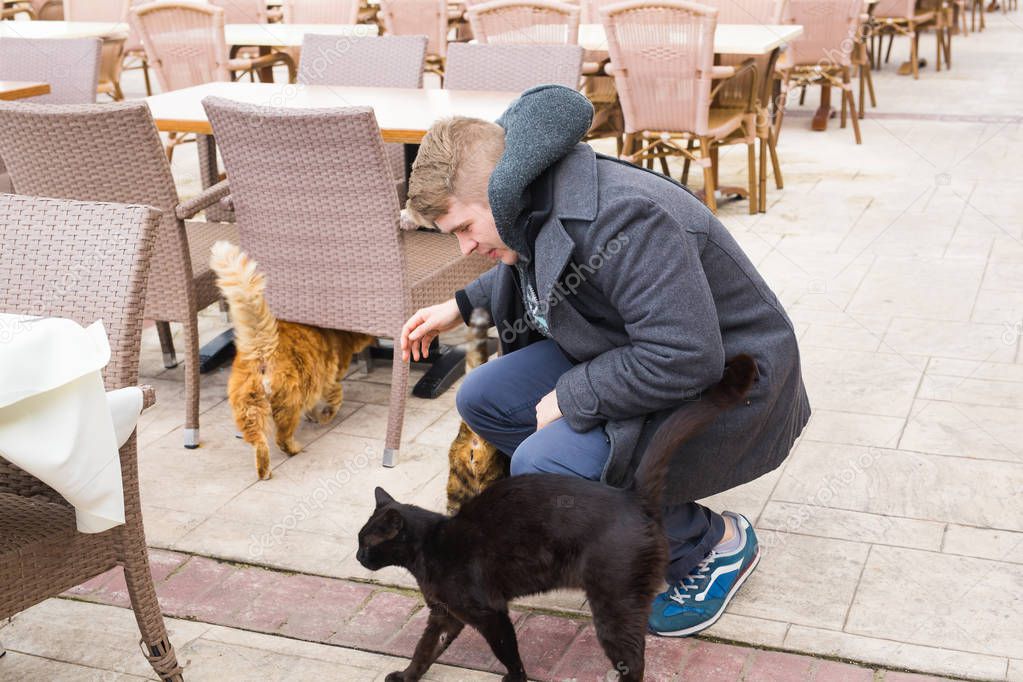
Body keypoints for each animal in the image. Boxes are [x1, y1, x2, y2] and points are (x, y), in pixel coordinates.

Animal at [207, 242, 372, 482]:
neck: (334, 333)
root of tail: (262, 348)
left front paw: (313, 416)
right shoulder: (328, 379)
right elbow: (336, 397)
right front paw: (325, 416)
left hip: (250, 411)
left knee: (259, 443)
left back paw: (264, 471)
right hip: (288, 405)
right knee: (281, 438)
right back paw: (294, 449)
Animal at [356, 355, 757, 678]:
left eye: (366, 543)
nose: (358, 556)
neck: (428, 549)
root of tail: (632, 496)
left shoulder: (489, 612)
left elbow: (509, 654)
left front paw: (514, 680)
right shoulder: (445, 615)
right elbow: (425, 649)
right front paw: (407, 676)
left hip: (613, 603)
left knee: (635, 660)